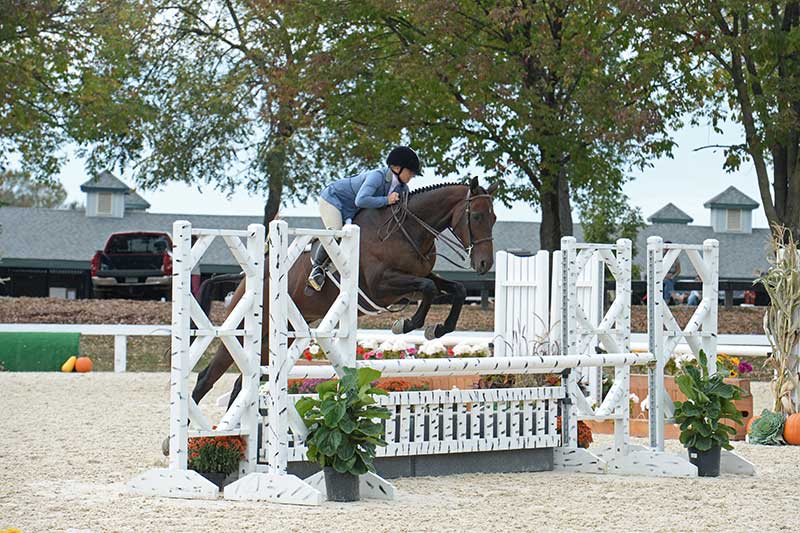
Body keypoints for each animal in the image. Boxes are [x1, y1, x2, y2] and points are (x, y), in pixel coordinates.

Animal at [191, 177, 496, 410]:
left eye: (493, 218)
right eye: (476, 216)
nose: (484, 264)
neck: (406, 230)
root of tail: (246, 278)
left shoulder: (418, 278)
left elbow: (453, 289)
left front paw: (439, 328)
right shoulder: (382, 286)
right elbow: (429, 289)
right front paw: (407, 324)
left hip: (280, 336)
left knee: (242, 383)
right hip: (246, 330)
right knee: (207, 377)